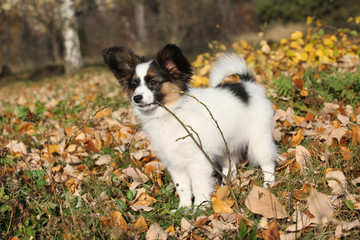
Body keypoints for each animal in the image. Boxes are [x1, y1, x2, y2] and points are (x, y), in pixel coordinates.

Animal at [102, 44, 278, 208]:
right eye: (134, 85)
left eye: (153, 82)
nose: (136, 98)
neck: (169, 114)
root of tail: (248, 84)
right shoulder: (175, 163)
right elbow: (183, 188)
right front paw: (184, 209)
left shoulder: (197, 160)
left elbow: (199, 186)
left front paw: (201, 209)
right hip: (226, 145)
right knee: (230, 165)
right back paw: (226, 185)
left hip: (259, 139)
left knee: (267, 162)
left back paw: (268, 185)